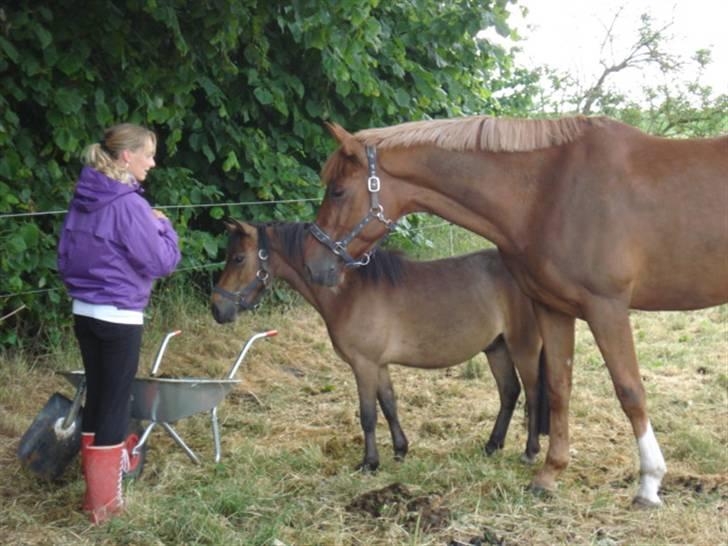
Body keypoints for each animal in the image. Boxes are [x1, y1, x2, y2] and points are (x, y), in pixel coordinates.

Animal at [209, 220, 544, 468]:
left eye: (238, 258)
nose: (216, 309)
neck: (348, 293)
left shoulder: (364, 365)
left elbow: (368, 415)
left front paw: (370, 462)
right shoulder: (379, 364)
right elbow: (390, 406)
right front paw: (400, 450)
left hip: (523, 347)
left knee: (532, 394)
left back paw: (530, 451)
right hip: (497, 347)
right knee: (509, 392)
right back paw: (492, 445)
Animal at [302, 116, 728, 506]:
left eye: (338, 191)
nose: (314, 265)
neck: (550, 189)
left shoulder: (606, 307)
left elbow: (629, 390)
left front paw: (650, 483)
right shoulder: (552, 308)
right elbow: (557, 387)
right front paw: (550, 473)